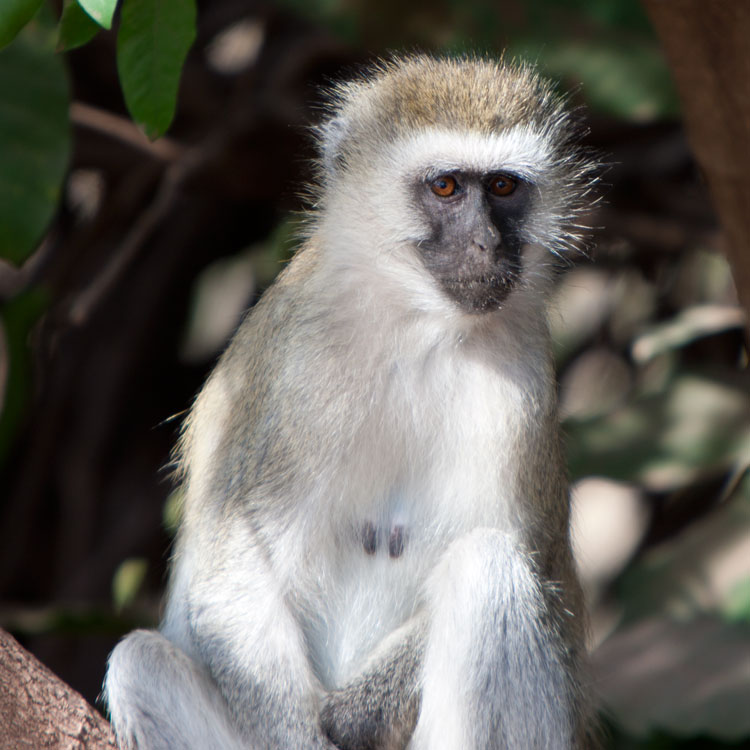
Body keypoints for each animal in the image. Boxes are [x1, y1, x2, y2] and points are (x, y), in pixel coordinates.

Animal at [104, 54, 599, 750]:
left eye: (503, 188)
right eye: (446, 187)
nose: (485, 246)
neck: (416, 326)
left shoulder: (522, 382)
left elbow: (534, 569)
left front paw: (357, 715)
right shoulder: (293, 372)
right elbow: (227, 569)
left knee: (486, 571)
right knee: (140, 661)